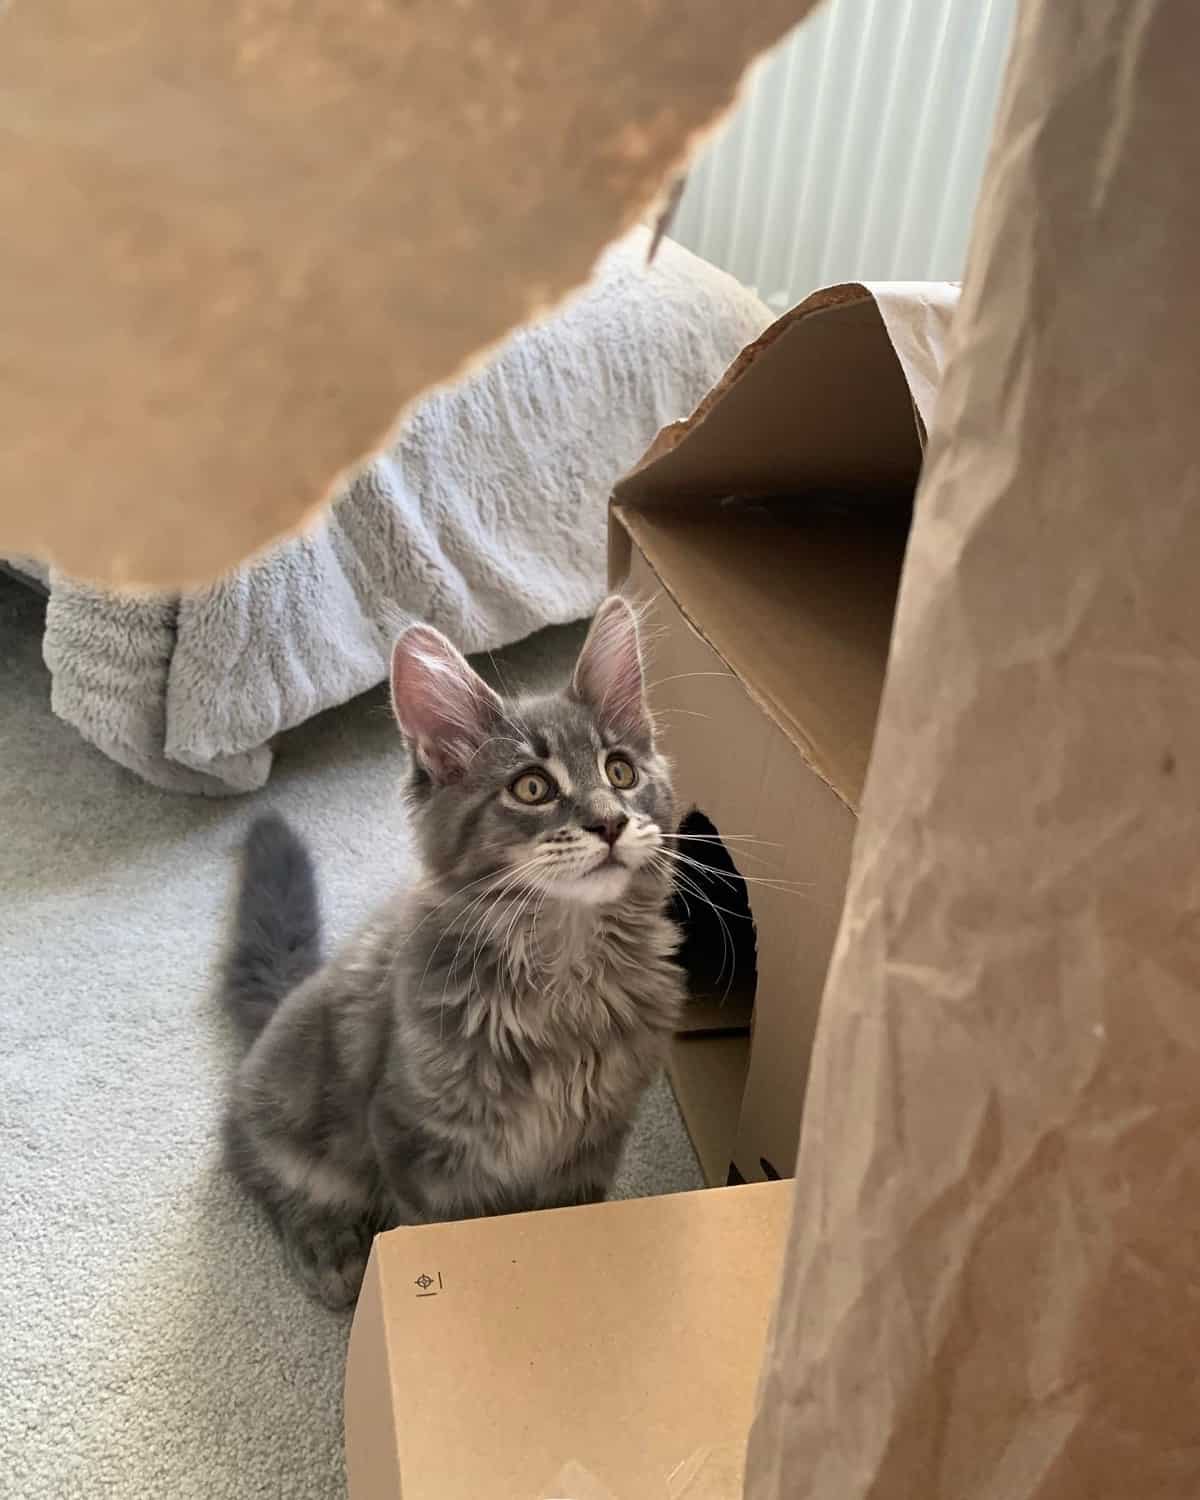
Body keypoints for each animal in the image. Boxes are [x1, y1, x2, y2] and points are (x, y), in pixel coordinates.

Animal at [219, 594, 681, 1302]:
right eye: (532, 787)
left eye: (621, 771)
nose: (610, 822)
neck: (565, 969)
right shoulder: (414, 1139)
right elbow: (440, 1228)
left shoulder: (592, 1143)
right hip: (293, 1114)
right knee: (266, 1169)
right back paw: (332, 1252)